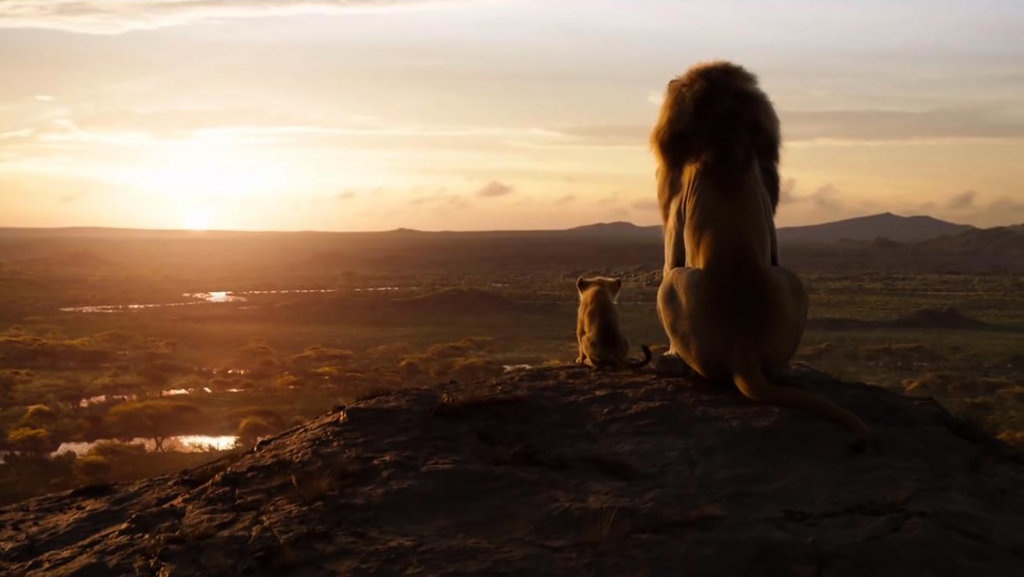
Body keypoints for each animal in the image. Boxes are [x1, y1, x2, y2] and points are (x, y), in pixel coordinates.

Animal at [651, 61, 869, 442]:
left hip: (673, 287)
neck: (724, 133)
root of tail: (745, 351)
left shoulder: (676, 211)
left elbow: (669, 257)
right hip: (791, 279)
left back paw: (671, 363)